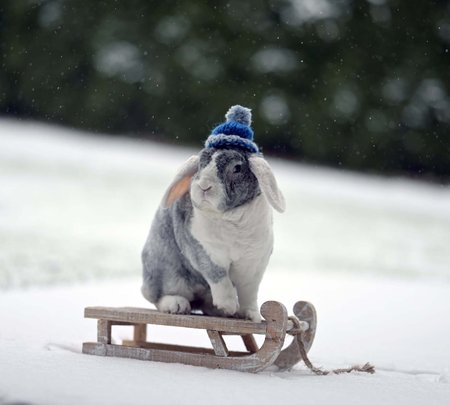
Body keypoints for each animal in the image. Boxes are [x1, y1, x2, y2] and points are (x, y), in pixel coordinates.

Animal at [141, 105, 284, 320]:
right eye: (201, 163)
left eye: (237, 168)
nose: (203, 186)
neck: (232, 218)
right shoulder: (204, 252)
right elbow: (220, 279)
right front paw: (229, 305)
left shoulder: (253, 265)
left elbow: (249, 293)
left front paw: (250, 315)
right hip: (166, 273)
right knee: (159, 296)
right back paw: (177, 305)